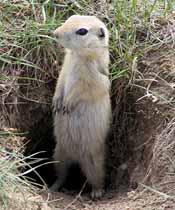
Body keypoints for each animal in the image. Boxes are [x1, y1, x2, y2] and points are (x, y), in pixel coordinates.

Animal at [50, 14, 111, 199]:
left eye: (82, 31)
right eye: (71, 17)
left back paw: (97, 193)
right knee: (61, 175)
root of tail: (75, 158)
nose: (55, 33)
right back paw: (52, 187)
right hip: (58, 155)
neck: (77, 56)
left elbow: (82, 90)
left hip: (93, 162)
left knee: (97, 178)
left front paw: (67, 104)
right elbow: (60, 84)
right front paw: (57, 102)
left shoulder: (93, 79)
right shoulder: (64, 69)